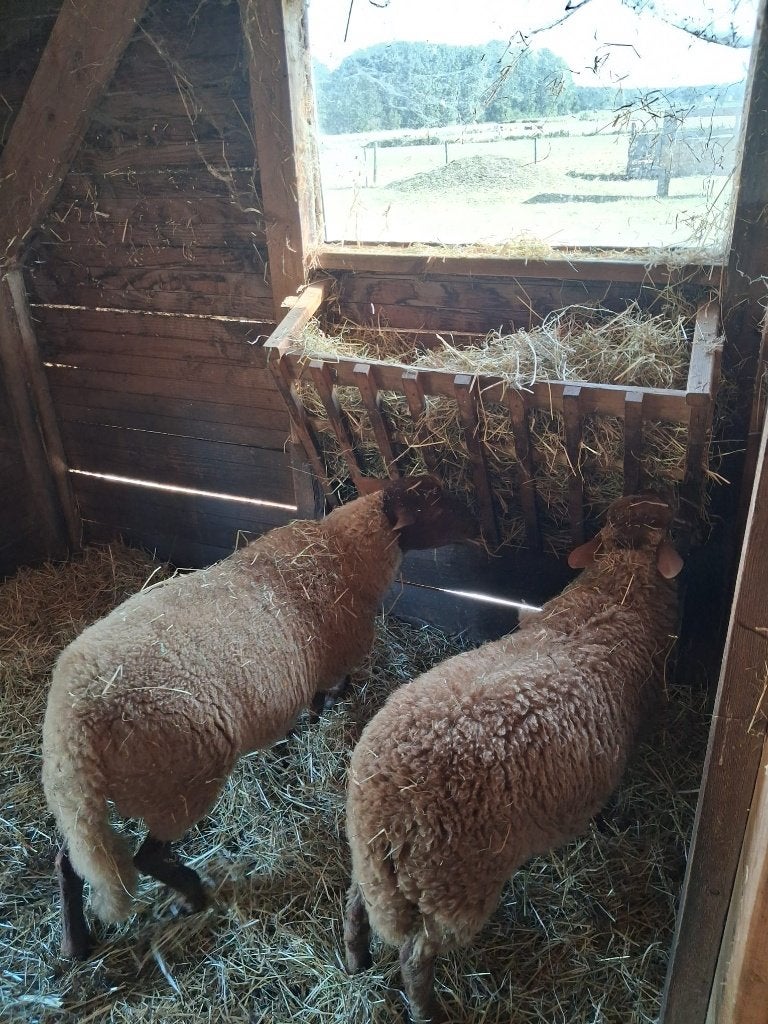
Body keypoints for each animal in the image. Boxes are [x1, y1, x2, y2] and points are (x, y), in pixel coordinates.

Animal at [41, 475, 476, 961]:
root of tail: (72, 726)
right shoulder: (330, 663)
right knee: (145, 857)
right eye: (436, 506)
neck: (343, 550)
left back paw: (76, 941)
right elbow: (326, 698)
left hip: (88, 804)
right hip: (177, 784)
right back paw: (192, 895)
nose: (480, 530)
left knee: (71, 860)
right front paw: (311, 726)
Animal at [343, 492, 683, 1023]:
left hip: (375, 871)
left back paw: (355, 959)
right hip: (450, 891)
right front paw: (610, 820)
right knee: (415, 956)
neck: (617, 585)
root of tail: (381, 813)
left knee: (355, 902)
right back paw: (428, 1010)